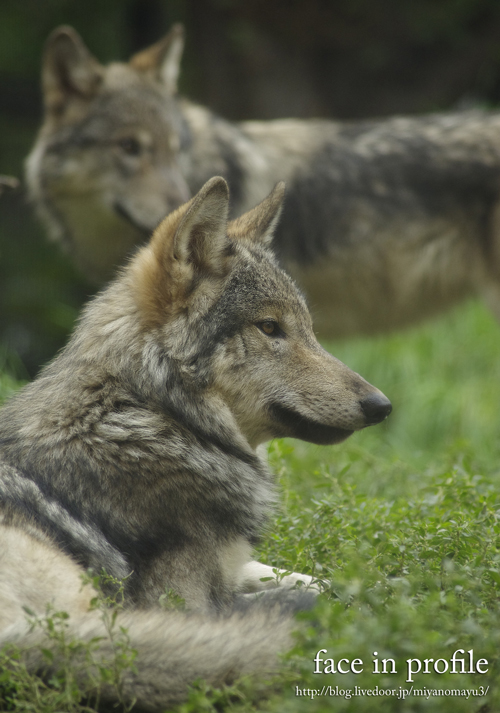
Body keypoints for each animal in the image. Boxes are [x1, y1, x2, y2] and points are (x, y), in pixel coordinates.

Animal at [0, 177, 390, 708]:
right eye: (270, 328)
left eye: (309, 329)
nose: (381, 405)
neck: (160, 418)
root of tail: (17, 644)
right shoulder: (180, 601)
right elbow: (307, 595)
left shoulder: (233, 564)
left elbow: (328, 580)